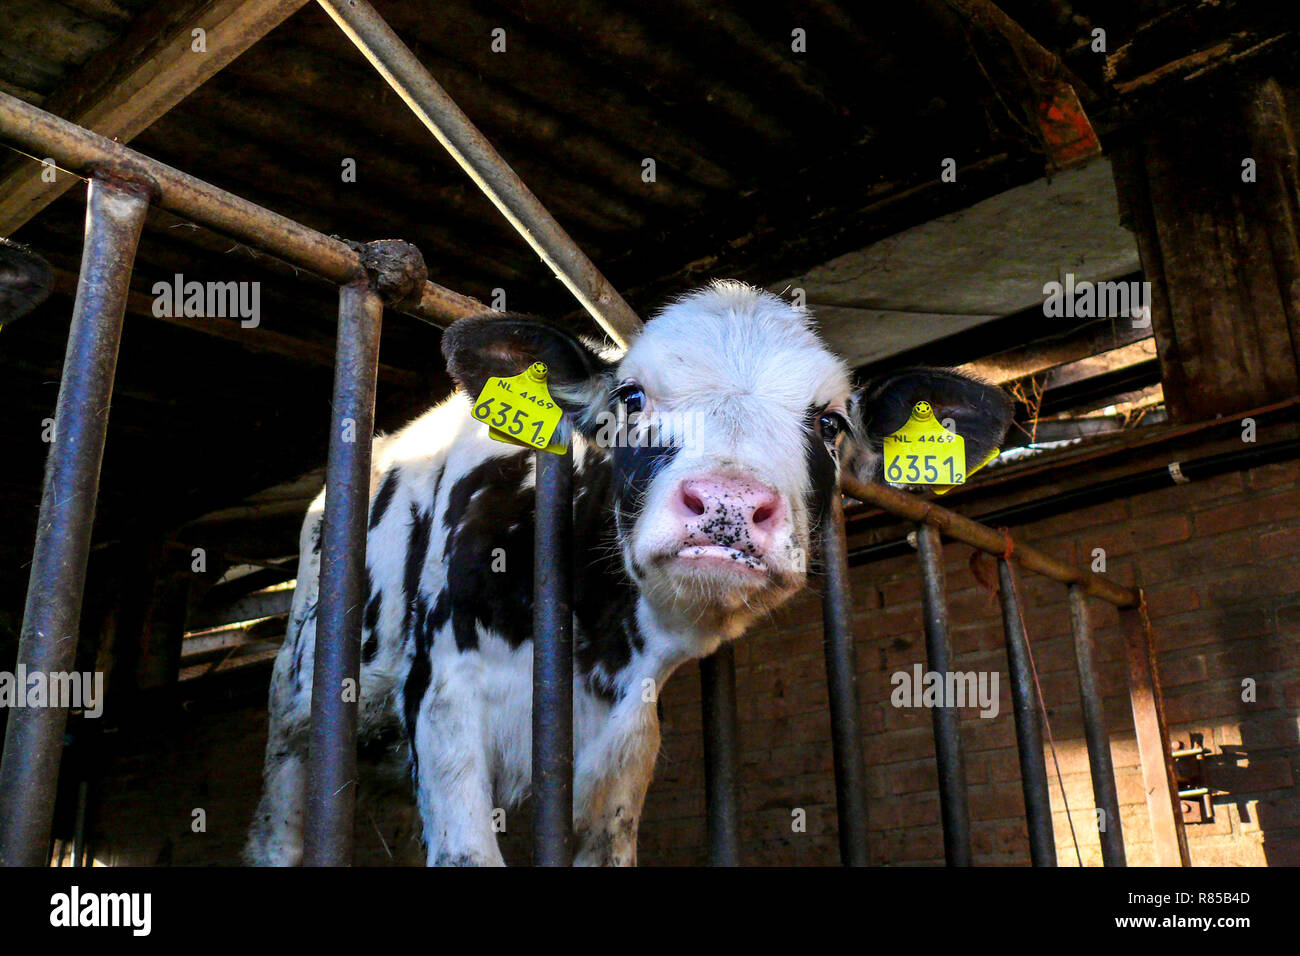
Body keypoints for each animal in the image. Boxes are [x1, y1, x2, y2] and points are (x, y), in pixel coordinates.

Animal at [246, 280, 1013, 866]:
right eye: (633, 398)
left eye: (829, 424)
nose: (728, 504)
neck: (590, 637)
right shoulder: (443, 704)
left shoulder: (625, 751)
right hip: (295, 718)